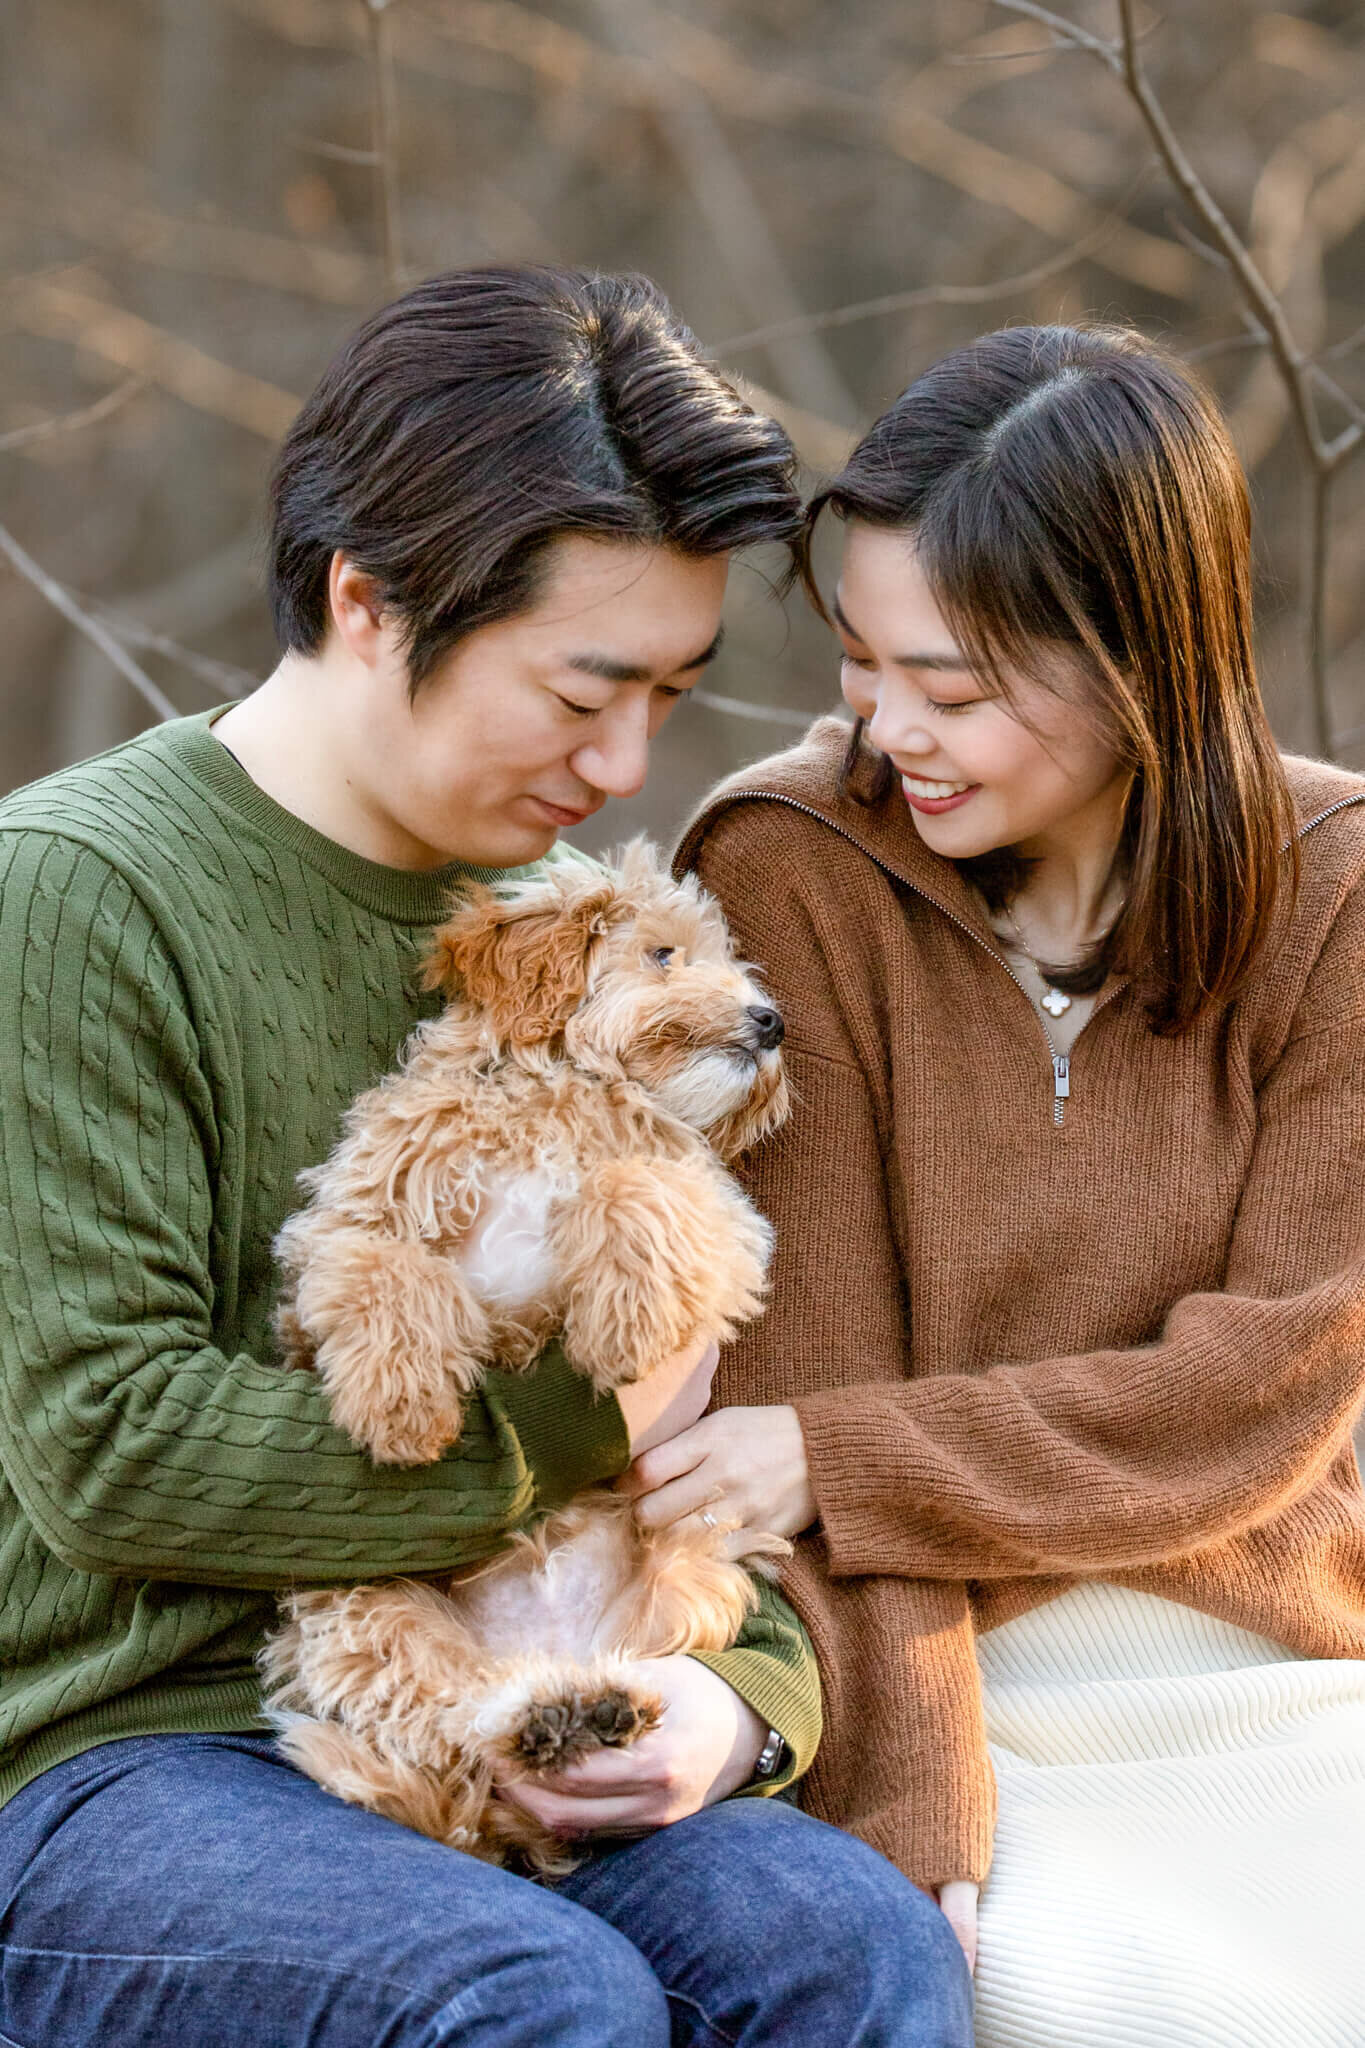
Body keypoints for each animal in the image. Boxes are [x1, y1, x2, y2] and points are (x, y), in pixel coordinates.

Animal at [261, 835, 789, 1875]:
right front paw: (400, 1408)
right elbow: (384, 1276)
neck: (563, 1092)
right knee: (459, 1731)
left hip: (693, 1575)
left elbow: (634, 1186)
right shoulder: (352, 1225)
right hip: (364, 1614)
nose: (771, 1020)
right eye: (663, 953)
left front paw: (625, 1324)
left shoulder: (720, 1222)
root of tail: (543, 1643)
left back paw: (585, 1711)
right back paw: (546, 1721)